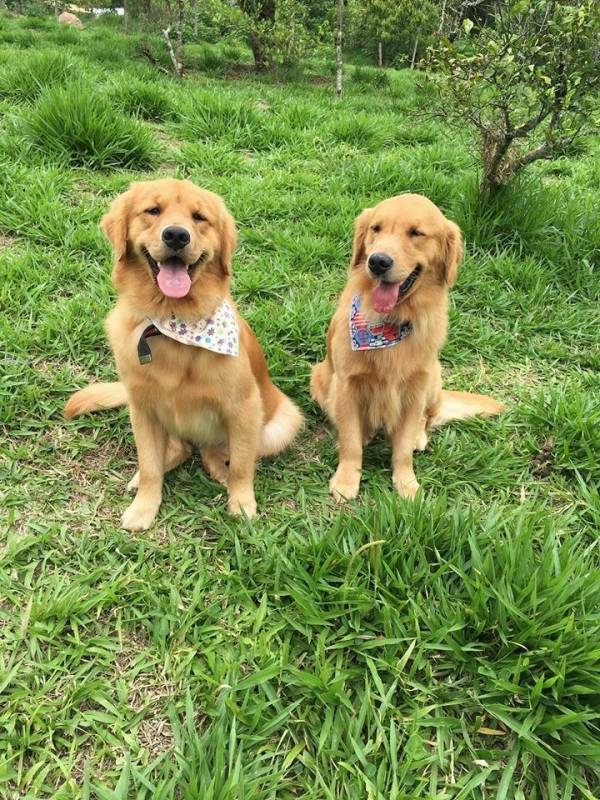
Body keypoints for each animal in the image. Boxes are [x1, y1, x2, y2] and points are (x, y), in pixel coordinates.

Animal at [65, 181, 302, 532]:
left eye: (199, 217)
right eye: (153, 210)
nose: (176, 235)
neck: (171, 323)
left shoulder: (244, 406)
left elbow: (242, 465)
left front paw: (242, 503)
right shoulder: (143, 409)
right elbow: (151, 465)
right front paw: (144, 507)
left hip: (282, 422)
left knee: (217, 450)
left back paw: (220, 470)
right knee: (181, 449)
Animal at [312, 195, 504, 500]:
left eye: (416, 233)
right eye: (376, 228)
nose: (377, 261)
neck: (390, 322)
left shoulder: (413, 391)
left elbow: (402, 449)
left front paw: (406, 484)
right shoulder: (346, 385)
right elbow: (350, 441)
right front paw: (346, 480)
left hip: (432, 378)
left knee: (428, 417)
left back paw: (418, 436)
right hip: (320, 377)